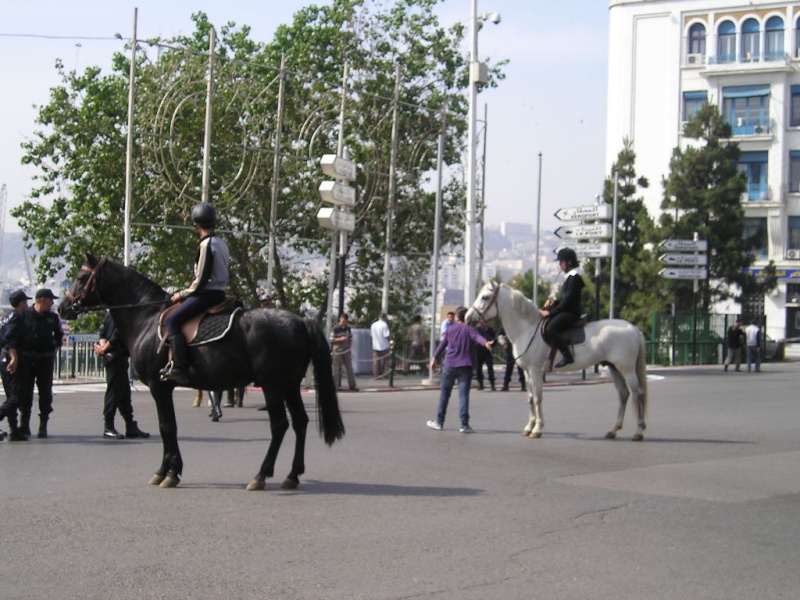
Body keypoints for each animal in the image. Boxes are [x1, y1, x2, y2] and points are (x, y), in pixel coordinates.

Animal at [56, 252, 344, 488]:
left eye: (81, 277)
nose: (62, 308)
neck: (147, 317)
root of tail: (301, 321)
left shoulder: (159, 386)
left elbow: (167, 427)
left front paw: (167, 473)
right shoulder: (164, 387)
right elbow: (169, 426)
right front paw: (170, 470)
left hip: (273, 386)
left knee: (280, 425)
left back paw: (261, 475)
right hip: (290, 386)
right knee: (300, 423)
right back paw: (292, 475)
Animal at [466, 282, 648, 440]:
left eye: (485, 297)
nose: (468, 318)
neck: (527, 329)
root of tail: (633, 328)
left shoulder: (536, 371)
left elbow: (538, 398)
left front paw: (537, 429)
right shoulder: (527, 372)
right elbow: (530, 397)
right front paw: (529, 427)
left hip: (627, 369)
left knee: (637, 393)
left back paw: (639, 431)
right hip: (614, 368)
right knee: (623, 394)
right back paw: (613, 430)